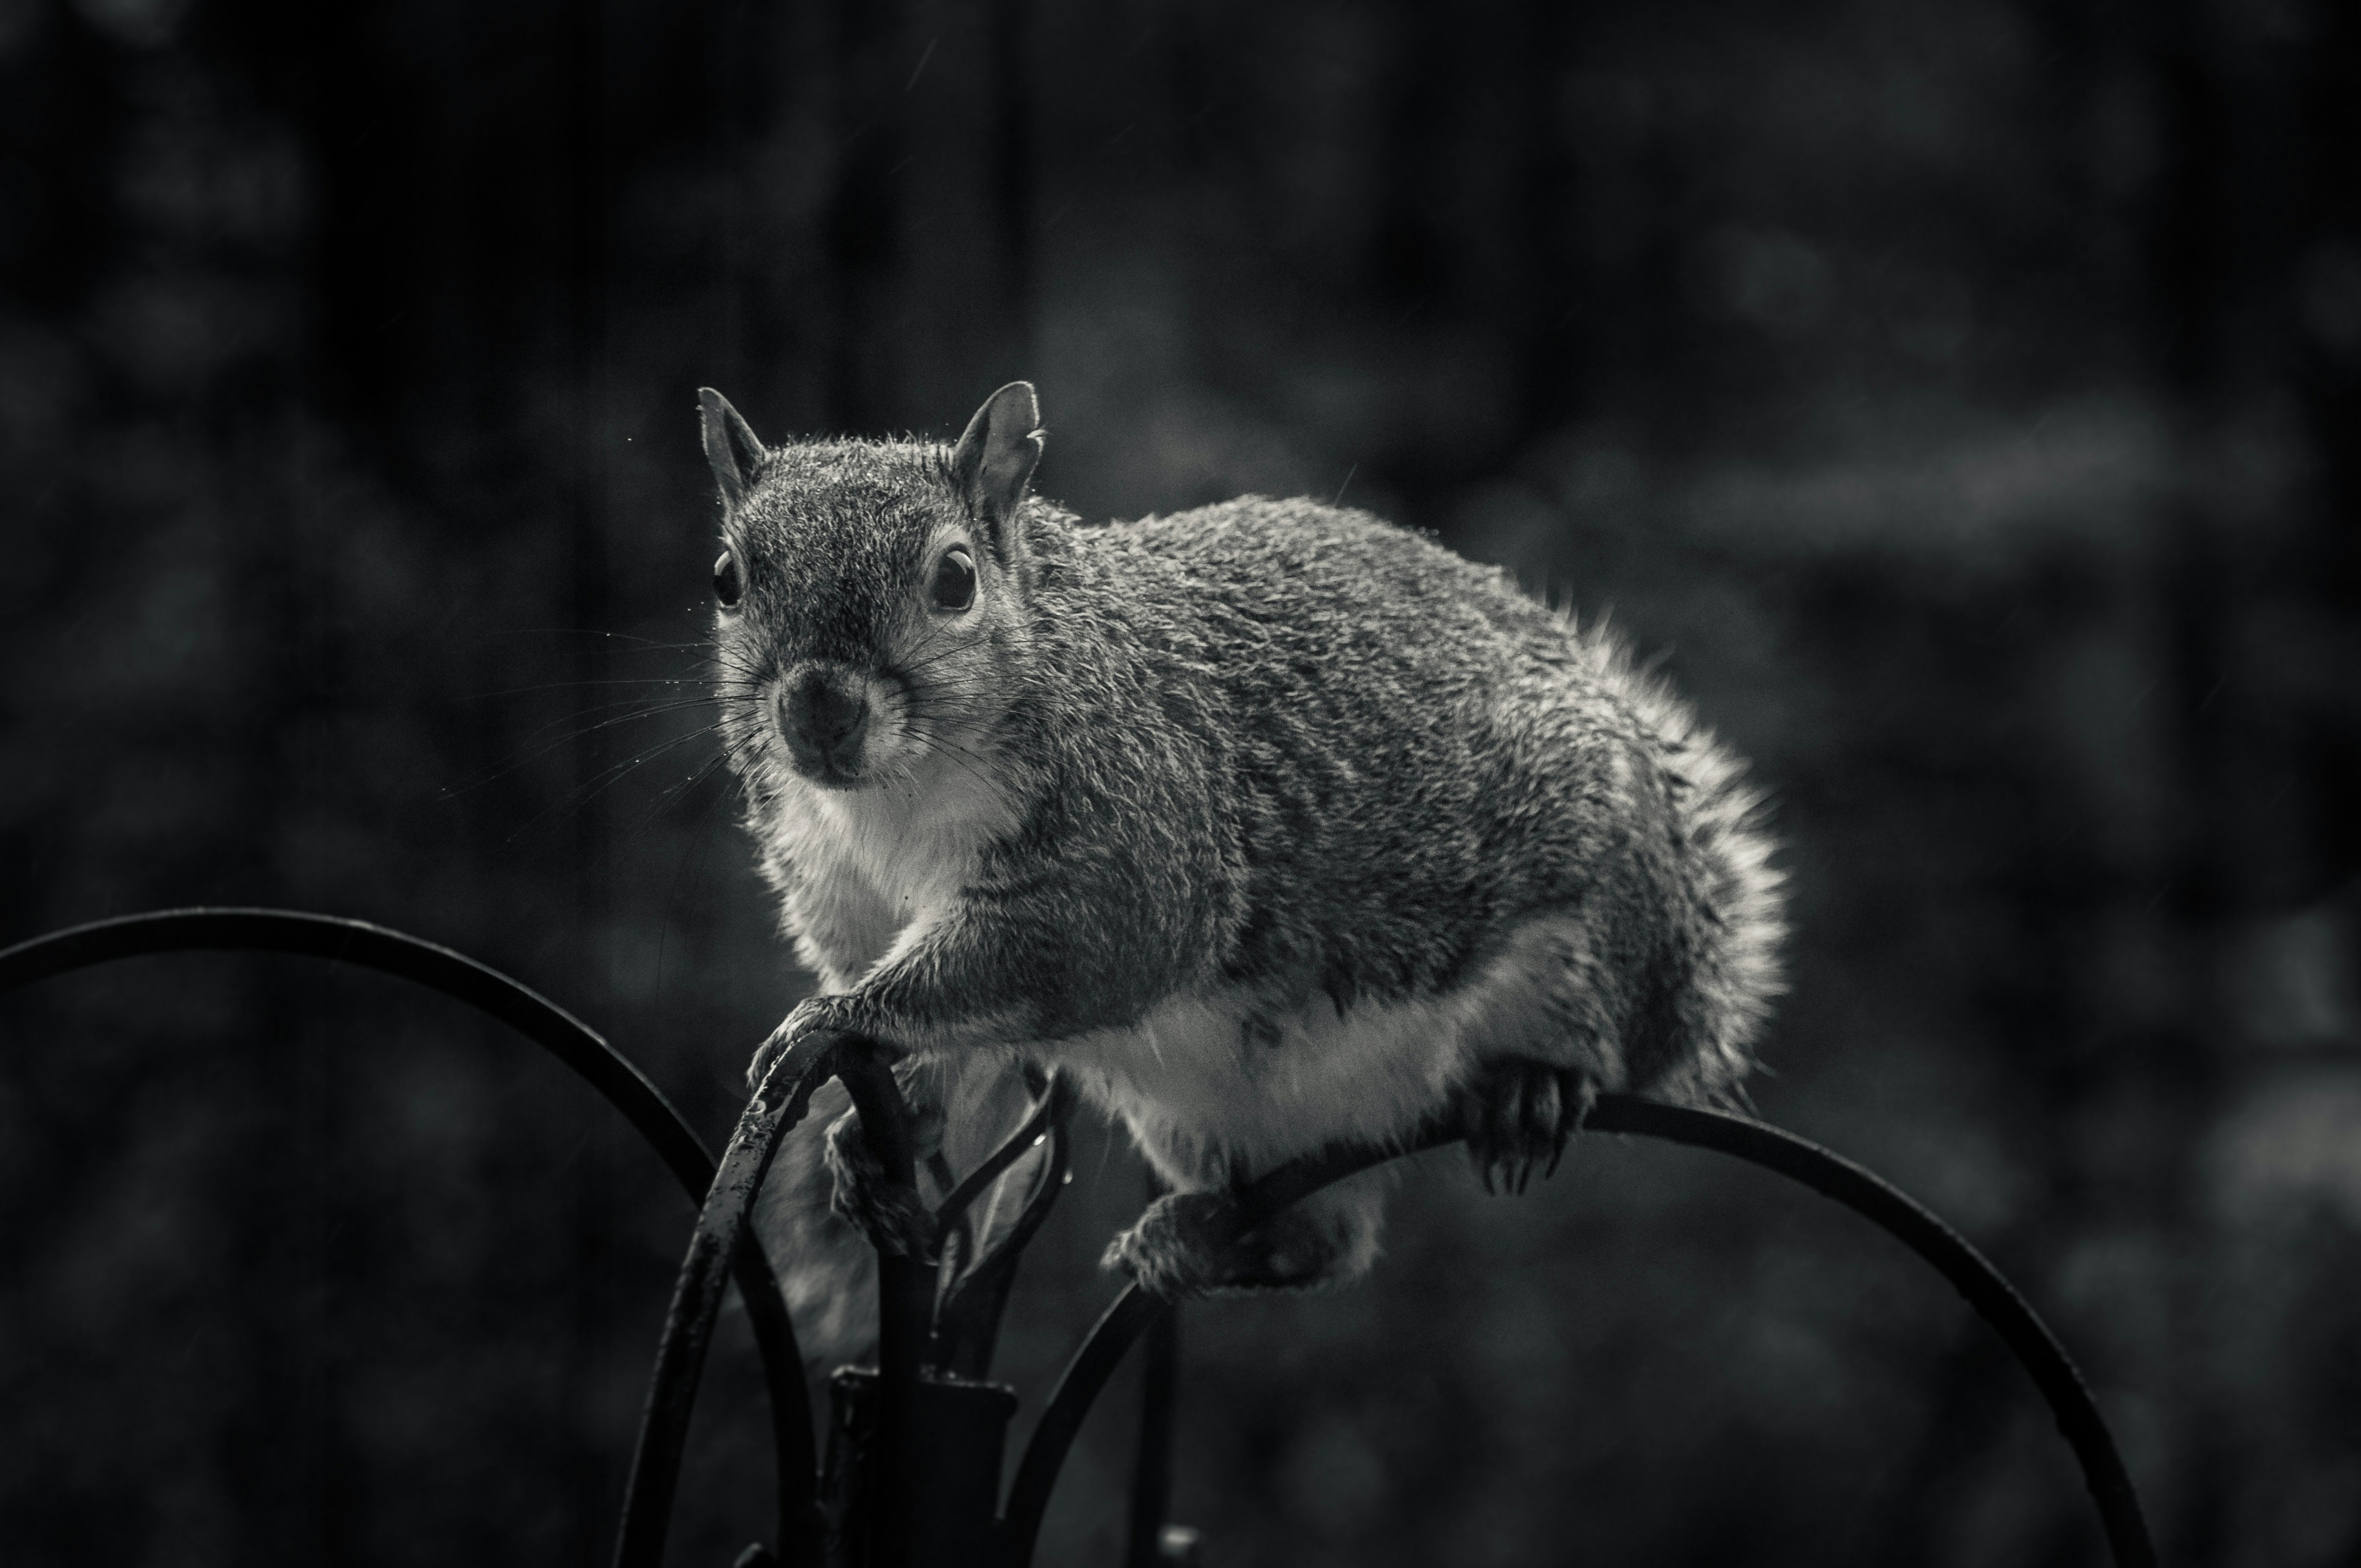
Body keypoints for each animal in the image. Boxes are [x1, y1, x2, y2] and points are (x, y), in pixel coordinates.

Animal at [705, 381, 1784, 1357]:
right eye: (727, 577)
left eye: (955, 580)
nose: (818, 708)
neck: (892, 800)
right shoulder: (846, 893)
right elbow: (968, 1042)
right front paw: (898, 1124)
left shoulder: (1136, 838)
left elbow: (1065, 953)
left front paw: (834, 1018)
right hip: (1204, 1123)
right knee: (1324, 1242)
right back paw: (1194, 1239)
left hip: (1592, 927)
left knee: (1593, 1028)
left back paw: (1534, 1085)